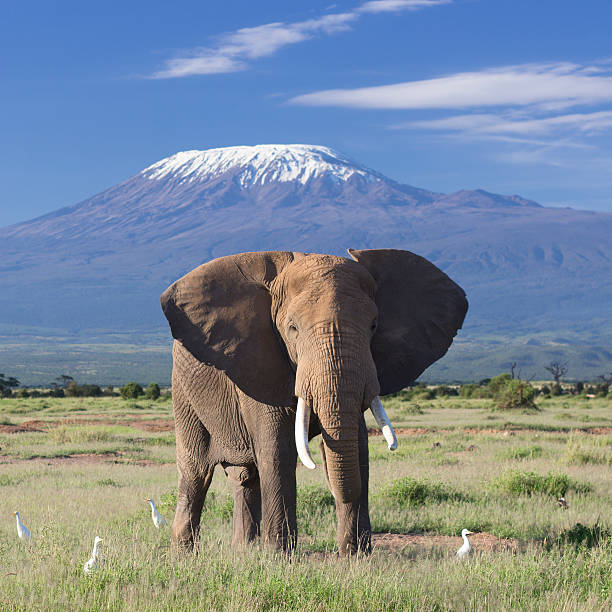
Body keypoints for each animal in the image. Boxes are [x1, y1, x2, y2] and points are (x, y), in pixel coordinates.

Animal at [160, 247, 466, 556]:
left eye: (373, 325)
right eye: (292, 328)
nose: (322, 460)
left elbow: (359, 446)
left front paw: (356, 557)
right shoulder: (259, 363)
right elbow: (277, 451)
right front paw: (279, 557)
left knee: (244, 478)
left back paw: (243, 551)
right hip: (182, 392)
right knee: (196, 473)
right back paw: (184, 554)